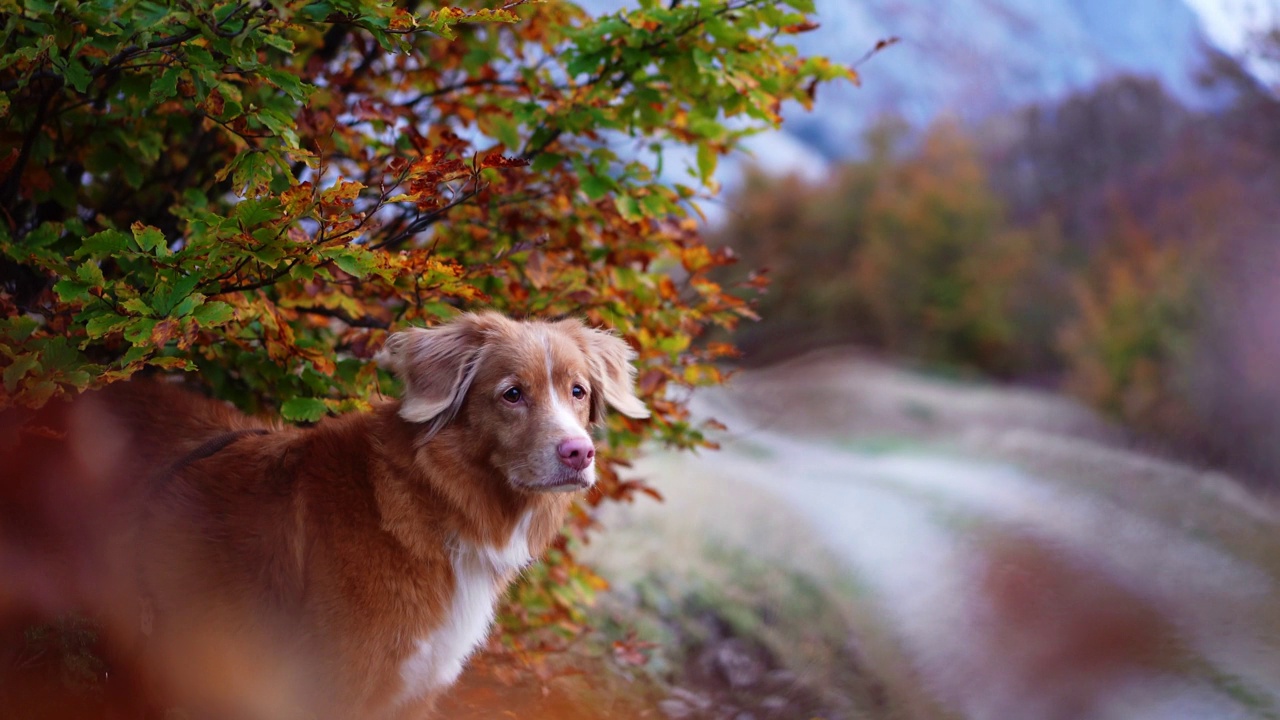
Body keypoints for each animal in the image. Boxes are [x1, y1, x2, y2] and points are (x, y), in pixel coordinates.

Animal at [0, 312, 650, 717]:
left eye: (578, 392)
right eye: (512, 394)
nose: (579, 453)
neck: (434, 508)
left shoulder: (413, 692)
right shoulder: (330, 685)